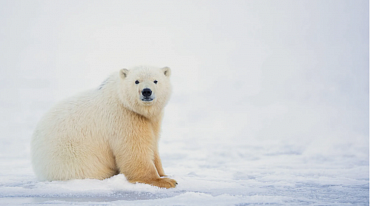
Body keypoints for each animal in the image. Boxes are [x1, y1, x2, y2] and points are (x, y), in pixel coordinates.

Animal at [30, 65, 178, 188]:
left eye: (155, 81)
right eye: (137, 81)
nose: (146, 91)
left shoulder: (151, 120)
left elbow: (152, 144)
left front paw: (164, 174)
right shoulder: (124, 117)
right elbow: (135, 150)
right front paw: (165, 181)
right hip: (71, 159)